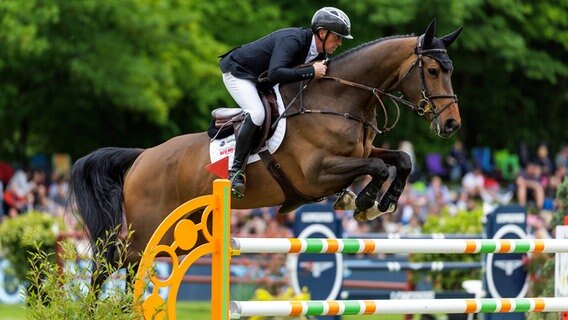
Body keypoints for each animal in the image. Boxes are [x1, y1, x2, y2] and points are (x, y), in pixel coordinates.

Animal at [70, 18, 462, 288]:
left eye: (449, 70)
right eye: (432, 70)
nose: (451, 124)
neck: (339, 100)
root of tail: (141, 157)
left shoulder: (361, 151)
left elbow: (399, 160)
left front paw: (383, 202)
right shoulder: (318, 173)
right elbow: (377, 167)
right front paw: (363, 202)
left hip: (174, 232)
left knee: (132, 267)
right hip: (148, 226)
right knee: (111, 263)